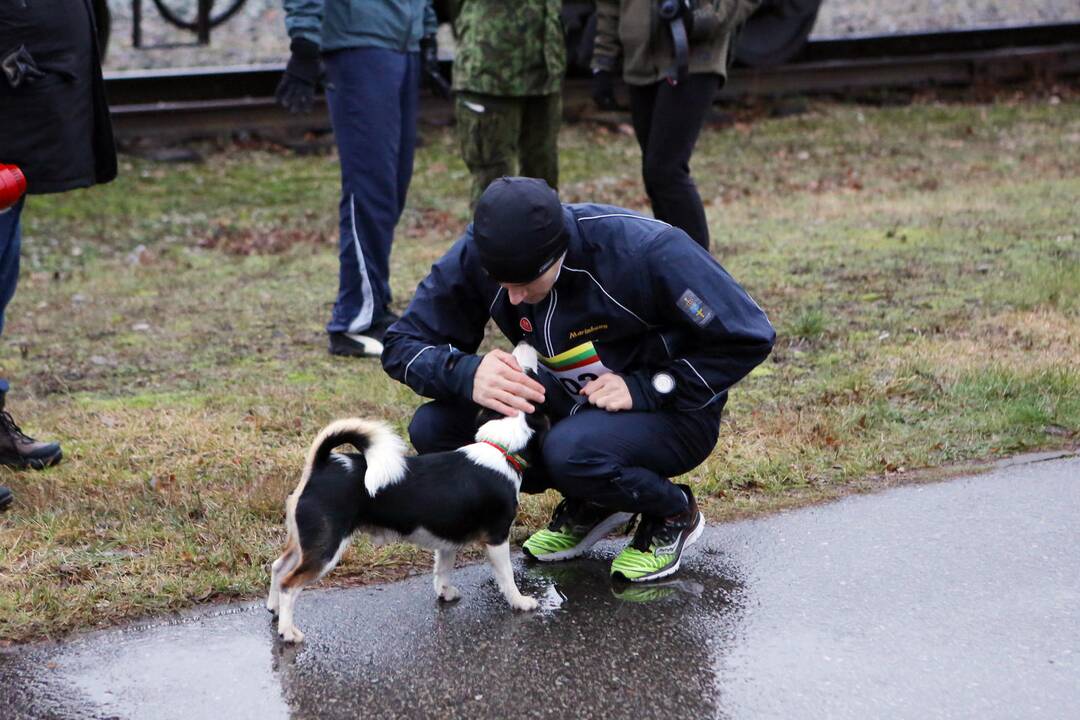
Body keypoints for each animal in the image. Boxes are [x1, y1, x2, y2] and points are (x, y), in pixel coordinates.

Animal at [266, 343, 552, 643]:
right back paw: (288, 631)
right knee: (289, 584)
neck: (499, 447)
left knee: (278, 566)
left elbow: (443, 568)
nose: (524, 344)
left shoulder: (447, 538)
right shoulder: (497, 537)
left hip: (304, 541)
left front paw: (444, 593)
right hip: (325, 548)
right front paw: (520, 601)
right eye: (529, 373)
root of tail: (323, 464)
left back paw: (274, 610)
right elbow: (506, 575)